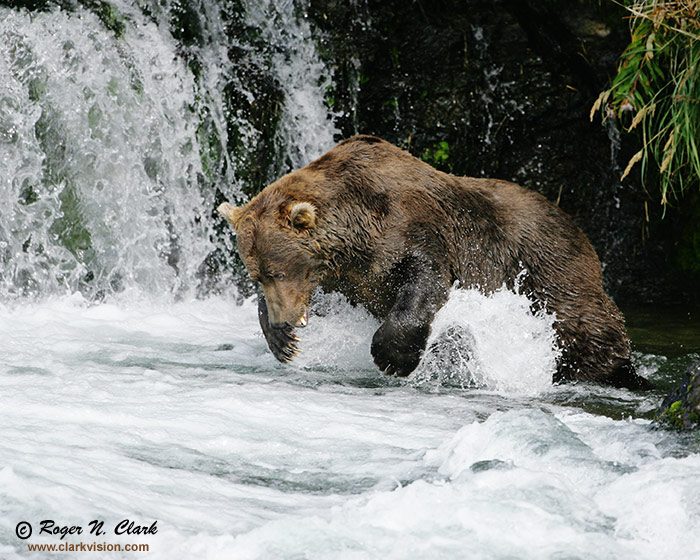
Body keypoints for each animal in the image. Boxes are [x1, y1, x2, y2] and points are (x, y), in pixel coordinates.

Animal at [217, 136, 652, 390]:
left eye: (278, 271)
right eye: (256, 275)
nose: (285, 319)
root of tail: (579, 229)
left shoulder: (411, 228)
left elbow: (425, 279)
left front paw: (393, 357)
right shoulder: (343, 274)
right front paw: (282, 341)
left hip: (549, 266)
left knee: (583, 322)